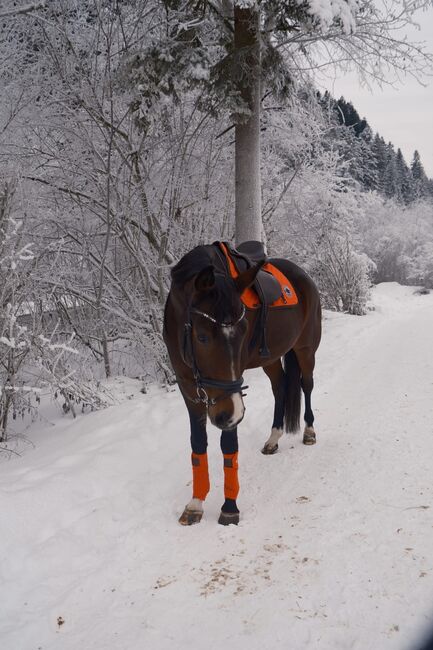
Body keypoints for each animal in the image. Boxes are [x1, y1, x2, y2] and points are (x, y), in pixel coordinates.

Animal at [164, 240, 318, 524]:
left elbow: (228, 445)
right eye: (202, 337)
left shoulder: (229, 397)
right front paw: (195, 504)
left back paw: (310, 431)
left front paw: (229, 507)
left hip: (306, 349)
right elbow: (197, 443)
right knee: (280, 387)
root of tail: (303, 276)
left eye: (245, 330)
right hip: (272, 358)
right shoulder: (188, 387)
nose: (230, 415)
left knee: (307, 385)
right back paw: (273, 439)